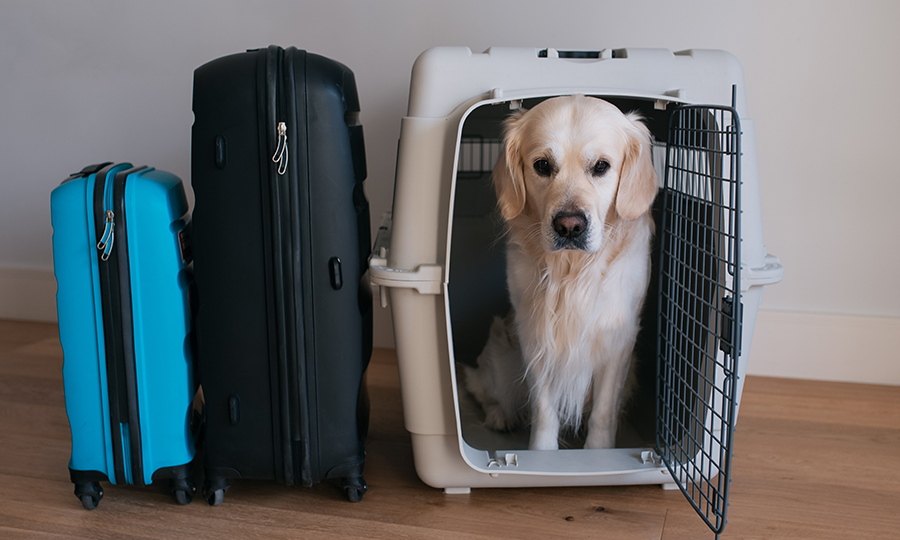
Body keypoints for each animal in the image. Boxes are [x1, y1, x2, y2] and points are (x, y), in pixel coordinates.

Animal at [464, 95, 652, 450]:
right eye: (542, 165)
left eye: (601, 166)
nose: (570, 226)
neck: (572, 269)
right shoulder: (534, 334)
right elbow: (543, 409)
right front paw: (542, 454)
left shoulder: (618, 340)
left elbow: (603, 411)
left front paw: (598, 453)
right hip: (500, 356)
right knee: (482, 389)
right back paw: (500, 416)